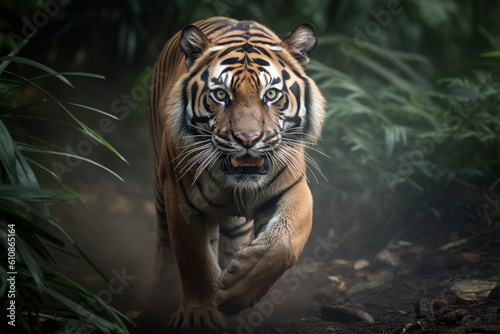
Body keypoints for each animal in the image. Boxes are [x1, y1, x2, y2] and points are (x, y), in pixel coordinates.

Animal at [147, 17, 328, 330]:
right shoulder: (181, 200)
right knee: (164, 245)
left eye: (271, 94)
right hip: (161, 191)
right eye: (221, 94)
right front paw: (199, 315)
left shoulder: (295, 189)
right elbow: (193, 259)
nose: (247, 139)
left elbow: (286, 241)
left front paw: (235, 290)